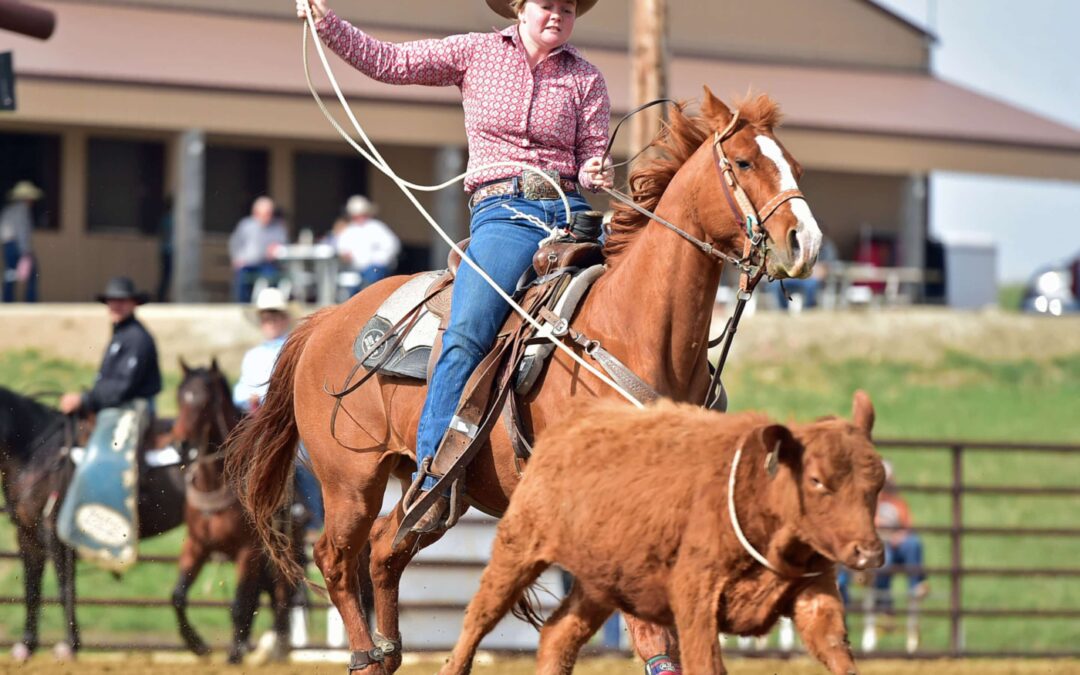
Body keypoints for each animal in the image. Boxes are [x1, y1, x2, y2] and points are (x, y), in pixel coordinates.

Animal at [0, 386, 185, 660]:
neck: (35, 453)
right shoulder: (27, 536)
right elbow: (31, 589)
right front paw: (26, 645)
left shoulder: (56, 537)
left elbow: (65, 588)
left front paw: (70, 645)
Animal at [170, 360, 302, 660]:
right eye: (180, 397)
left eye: (205, 401)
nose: (181, 444)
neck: (214, 482)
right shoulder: (197, 545)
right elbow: (178, 596)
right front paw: (197, 644)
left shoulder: (247, 550)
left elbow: (240, 604)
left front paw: (233, 654)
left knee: (283, 593)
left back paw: (277, 645)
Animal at [225, 88, 816, 669]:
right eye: (743, 161)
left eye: (795, 165)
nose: (804, 243)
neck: (632, 331)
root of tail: (325, 319)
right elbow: (648, 635)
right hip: (350, 480)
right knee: (338, 559)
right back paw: (366, 655)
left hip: (432, 495)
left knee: (385, 549)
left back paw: (389, 651)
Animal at [438, 388, 885, 673]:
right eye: (817, 481)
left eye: (877, 482)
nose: (869, 552)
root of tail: (577, 419)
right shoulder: (695, 595)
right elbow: (706, 665)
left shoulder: (816, 597)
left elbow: (838, 653)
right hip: (518, 547)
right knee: (477, 621)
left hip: (599, 583)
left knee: (559, 634)